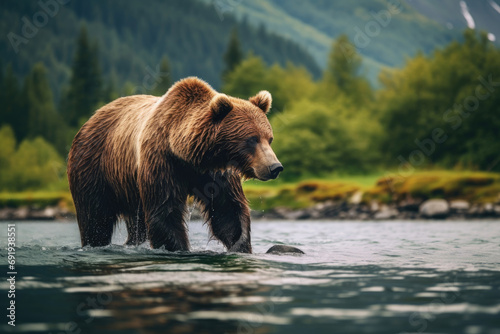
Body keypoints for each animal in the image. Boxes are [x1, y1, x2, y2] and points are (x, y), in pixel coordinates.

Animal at [67, 76, 282, 253]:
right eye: (252, 139)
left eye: (269, 139)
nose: (275, 167)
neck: (189, 155)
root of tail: (91, 118)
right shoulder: (161, 161)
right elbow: (165, 212)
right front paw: (179, 248)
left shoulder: (217, 172)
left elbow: (228, 211)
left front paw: (239, 246)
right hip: (93, 166)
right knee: (95, 217)